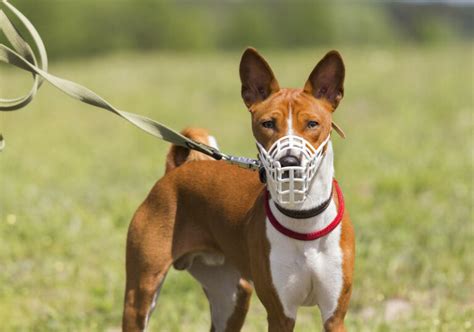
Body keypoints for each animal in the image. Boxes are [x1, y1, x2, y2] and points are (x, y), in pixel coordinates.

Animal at [124, 48, 354, 330]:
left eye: (312, 124)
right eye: (267, 124)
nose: (289, 161)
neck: (303, 219)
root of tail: (173, 172)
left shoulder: (334, 315)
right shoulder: (280, 314)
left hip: (232, 297)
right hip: (141, 295)